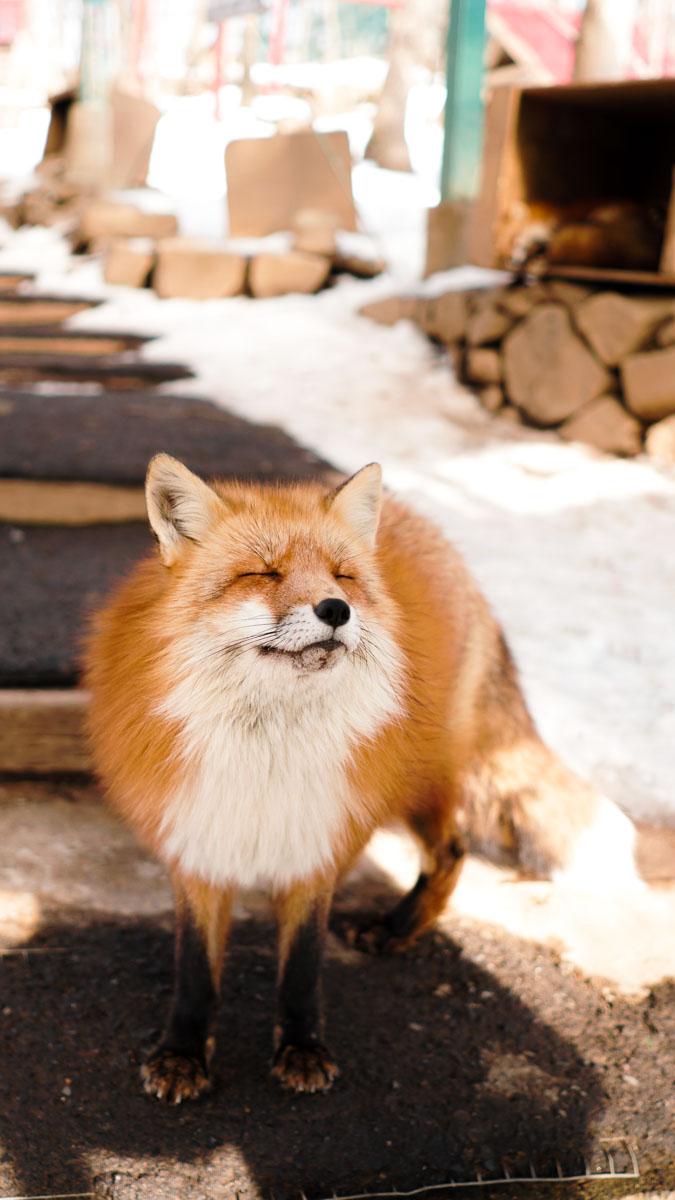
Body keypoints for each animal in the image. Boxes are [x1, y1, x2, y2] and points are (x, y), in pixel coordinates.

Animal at [85, 456, 634, 1104]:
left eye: (341, 577)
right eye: (262, 573)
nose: (335, 609)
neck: (267, 751)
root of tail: (429, 528)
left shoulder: (321, 837)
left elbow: (301, 967)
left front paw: (301, 1047)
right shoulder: (199, 838)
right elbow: (196, 971)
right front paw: (183, 1053)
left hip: (415, 781)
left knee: (453, 848)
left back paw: (397, 928)